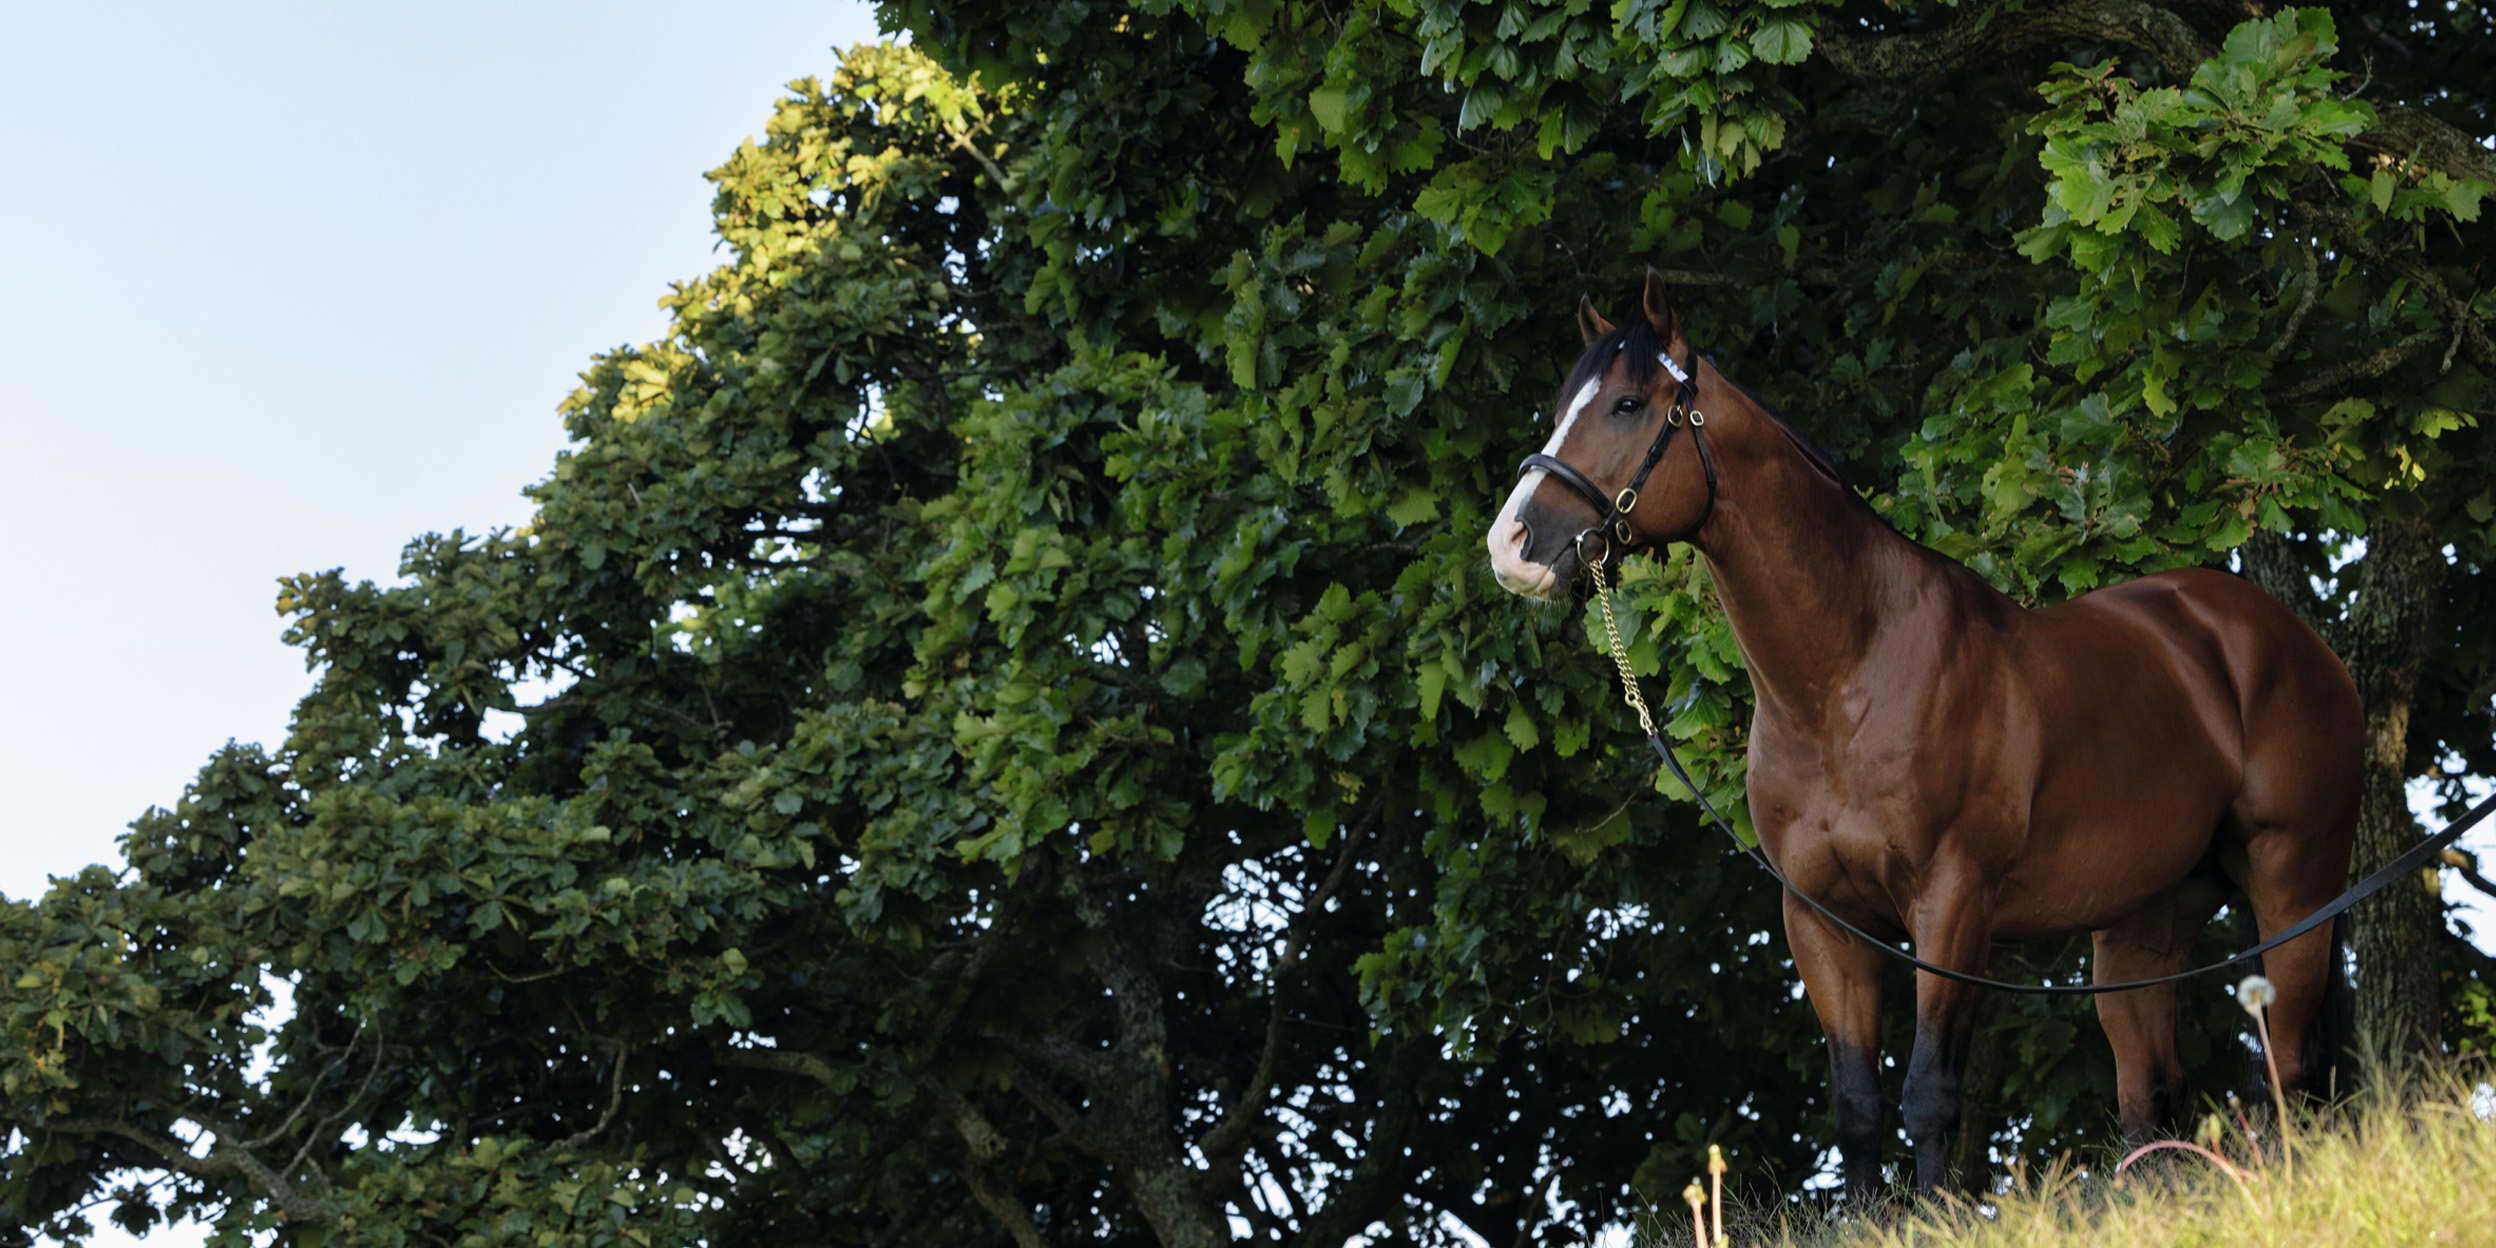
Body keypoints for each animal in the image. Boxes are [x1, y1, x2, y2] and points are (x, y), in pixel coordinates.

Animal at [1477, 273, 2356, 1198]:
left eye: (1628, 404)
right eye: (1560, 407)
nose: (1512, 545)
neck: (1845, 683)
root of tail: (2283, 639)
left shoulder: (1952, 906)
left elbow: (1930, 1094)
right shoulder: (1820, 920)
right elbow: (1857, 1106)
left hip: (2293, 889)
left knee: (2288, 1071)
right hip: (2144, 922)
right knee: (2152, 1099)